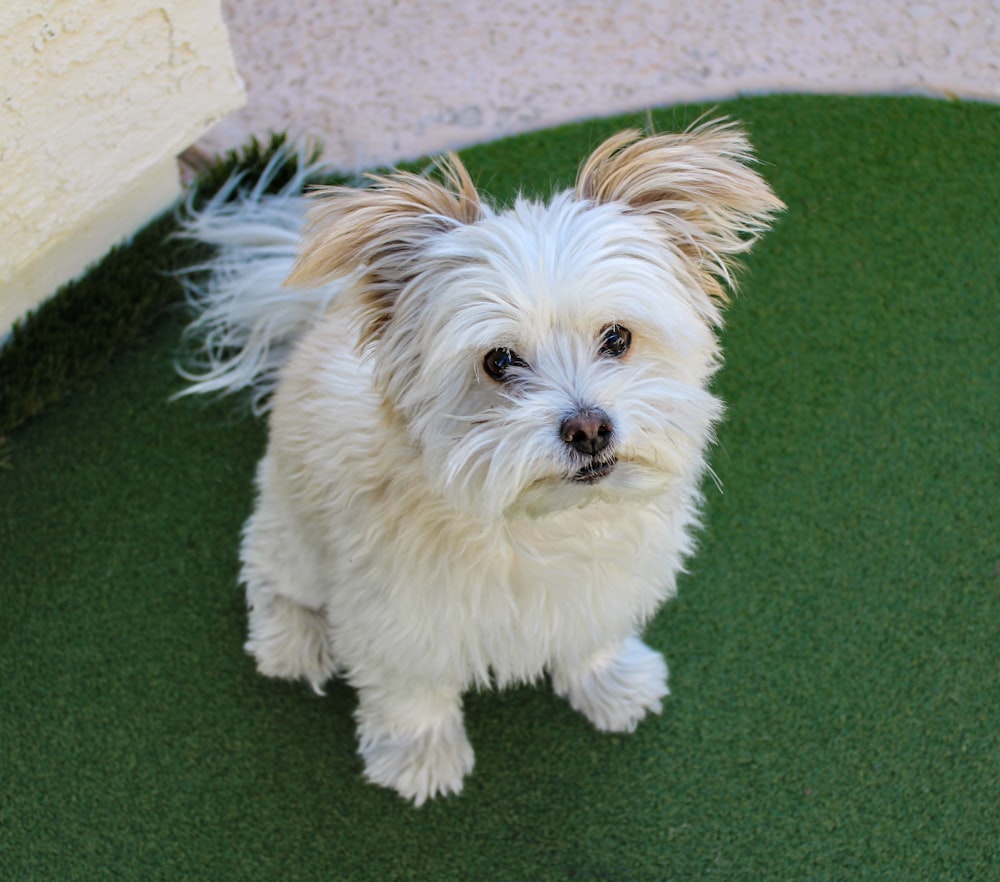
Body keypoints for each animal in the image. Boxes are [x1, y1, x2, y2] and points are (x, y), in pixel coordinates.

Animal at [180, 122, 780, 804]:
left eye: (618, 338)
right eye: (499, 361)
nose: (589, 429)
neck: (537, 524)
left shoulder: (599, 589)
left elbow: (590, 638)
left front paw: (611, 685)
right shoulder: (395, 617)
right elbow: (410, 692)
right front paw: (421, 757)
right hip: (293, 531)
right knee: (268, 571)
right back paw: (292, 641)